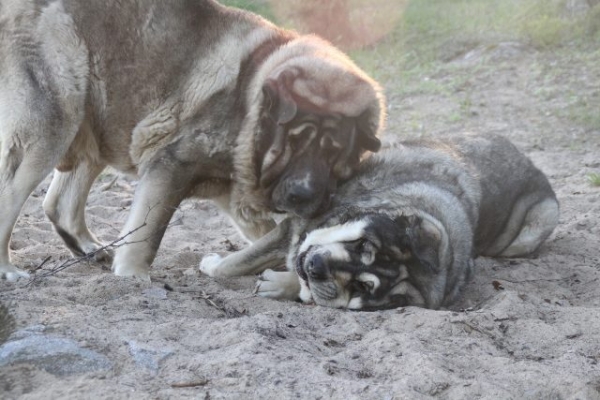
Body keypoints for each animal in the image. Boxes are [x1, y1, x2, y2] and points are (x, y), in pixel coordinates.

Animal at [0, 0, 384, 282]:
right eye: (292, 144)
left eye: (334, 155)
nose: (303, 195)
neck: (249, 100)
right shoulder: (172, 165)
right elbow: (149, 234)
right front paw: (134, 276)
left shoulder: (233, 192)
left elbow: (268, 236)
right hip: (54, 125)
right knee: (12, 197)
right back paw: (8, 269)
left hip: (97, 119)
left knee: (60, 205)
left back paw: (91, 248)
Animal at [200, 134, 556, 310]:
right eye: (363, 245)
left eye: (362, 286)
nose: (317, 266)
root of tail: (530, 162)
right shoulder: (297, 228)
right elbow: (239, 261)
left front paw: (277, 283)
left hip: (540, 221)